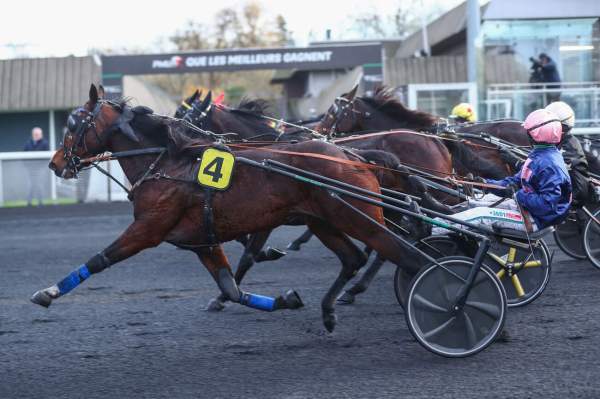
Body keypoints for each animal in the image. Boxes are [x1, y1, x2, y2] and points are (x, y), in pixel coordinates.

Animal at [32, 85, 428, 334]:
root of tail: (354, 154)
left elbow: (101, 259)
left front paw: (47, 293)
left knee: (406, 256)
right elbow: (233, 285)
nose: (55, 163)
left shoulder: (148, 229)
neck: (169, 163)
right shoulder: (203, 241)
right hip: (326, 221)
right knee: (355, 258)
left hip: (359, 218)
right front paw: (283, 299)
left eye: (72, 125)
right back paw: (331, 308)